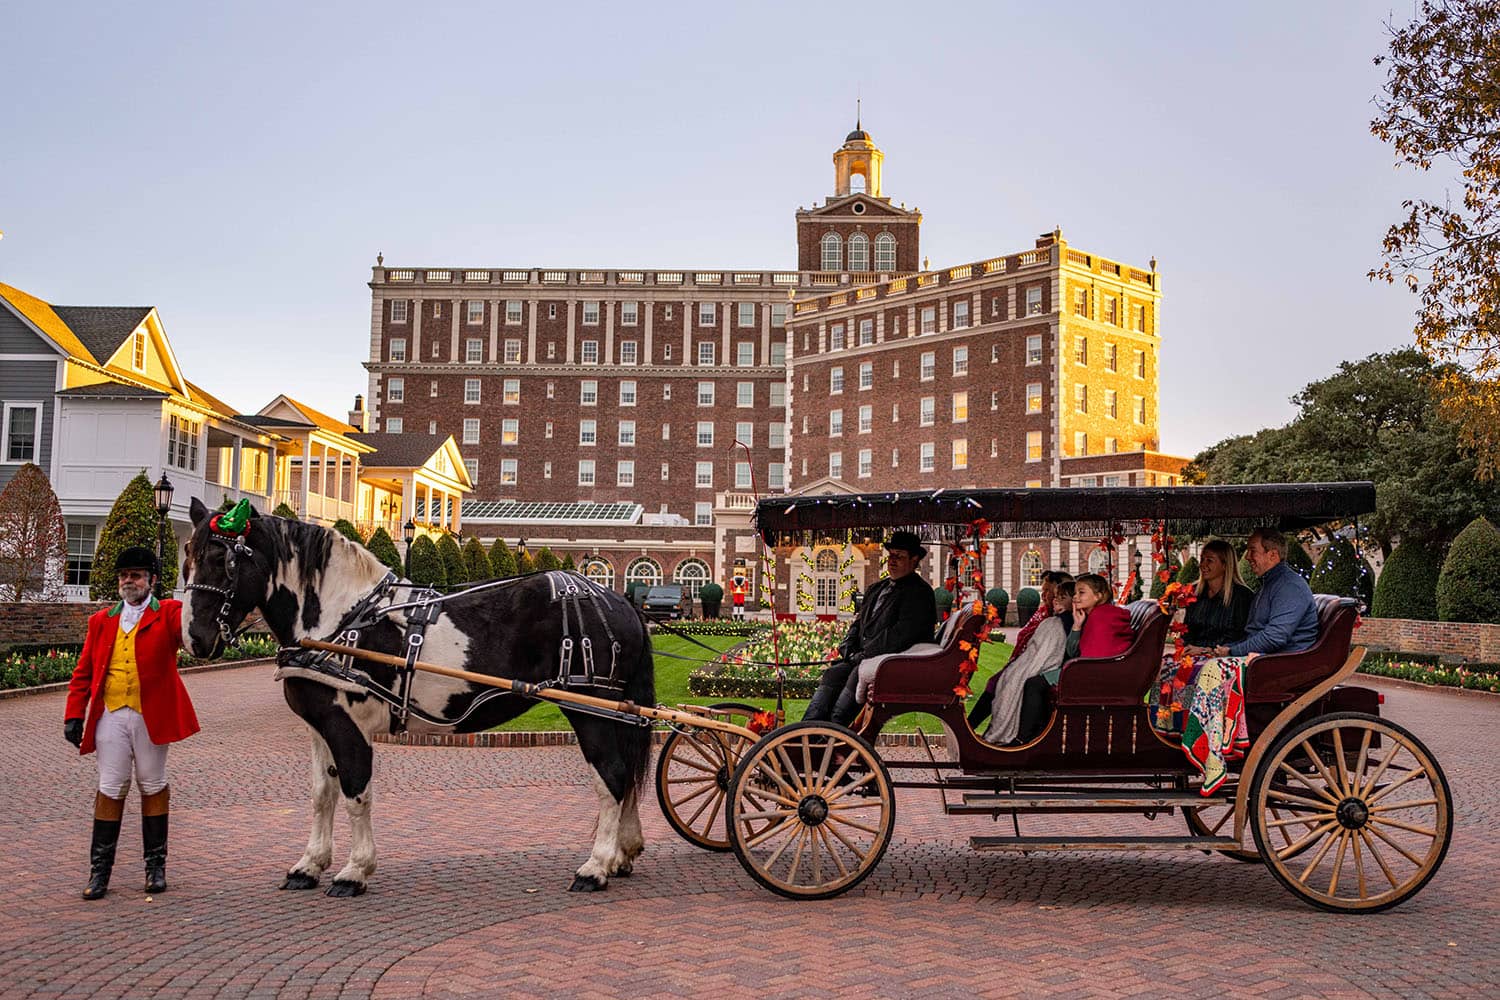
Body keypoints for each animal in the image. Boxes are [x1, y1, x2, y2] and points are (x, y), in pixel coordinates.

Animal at [180, 498, 655, 896]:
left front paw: (355, 870)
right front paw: (309, 864)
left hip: (590, 709)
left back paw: (595, 866)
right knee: (627, 775)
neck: (341, 618)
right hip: (614, 712)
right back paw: (622, 854)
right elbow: (322, 795)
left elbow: (356, 794)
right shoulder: (320, 724)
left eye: (223, 560)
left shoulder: (349, 727)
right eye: (187, 556)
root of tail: (617, 598)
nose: (195, 638)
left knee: (612, 776)